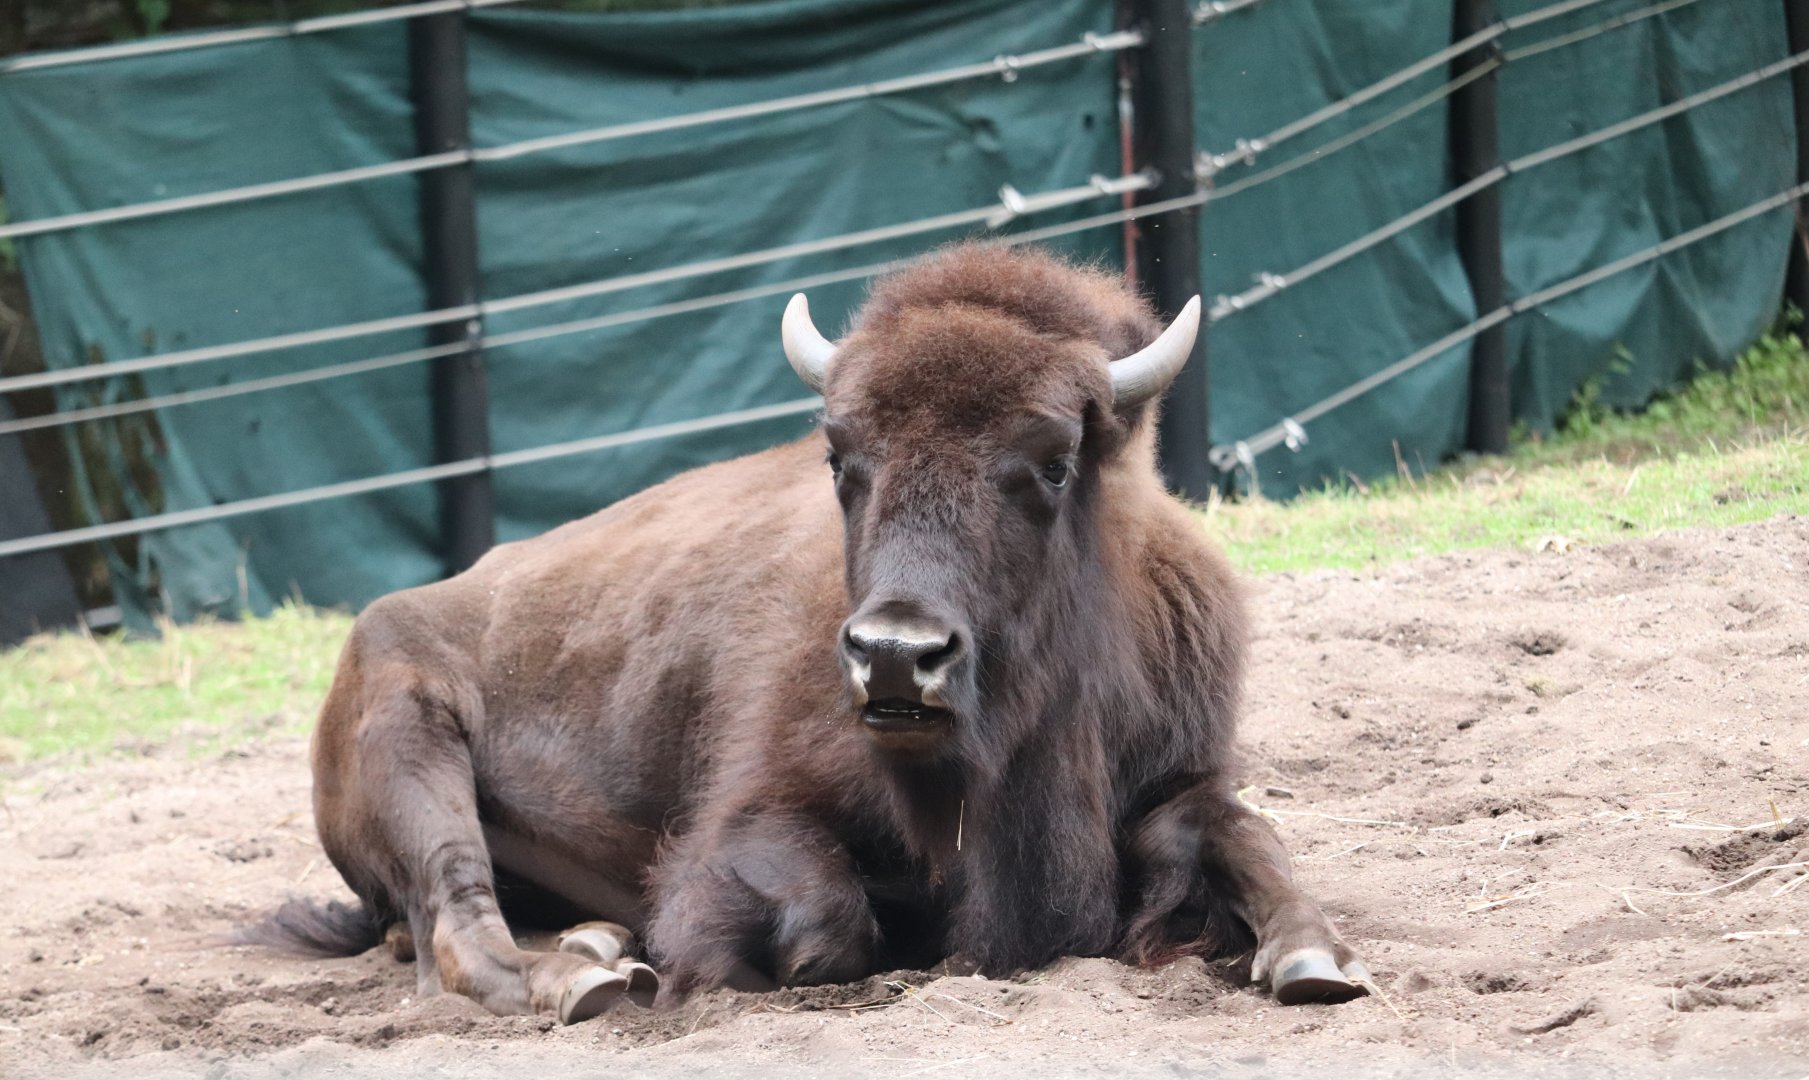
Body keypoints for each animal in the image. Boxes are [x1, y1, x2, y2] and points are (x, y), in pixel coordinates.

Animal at [250, 245, 1369, 1022]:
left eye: (1053, 463)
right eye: (841, 457)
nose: (896, 656)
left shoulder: (1178, 772)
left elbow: (1240, 831)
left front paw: (1316, 958)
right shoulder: (750, 814)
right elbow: (826, 920)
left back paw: (600, 943)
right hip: (410, 735)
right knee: (453, 918)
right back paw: (582, 980)